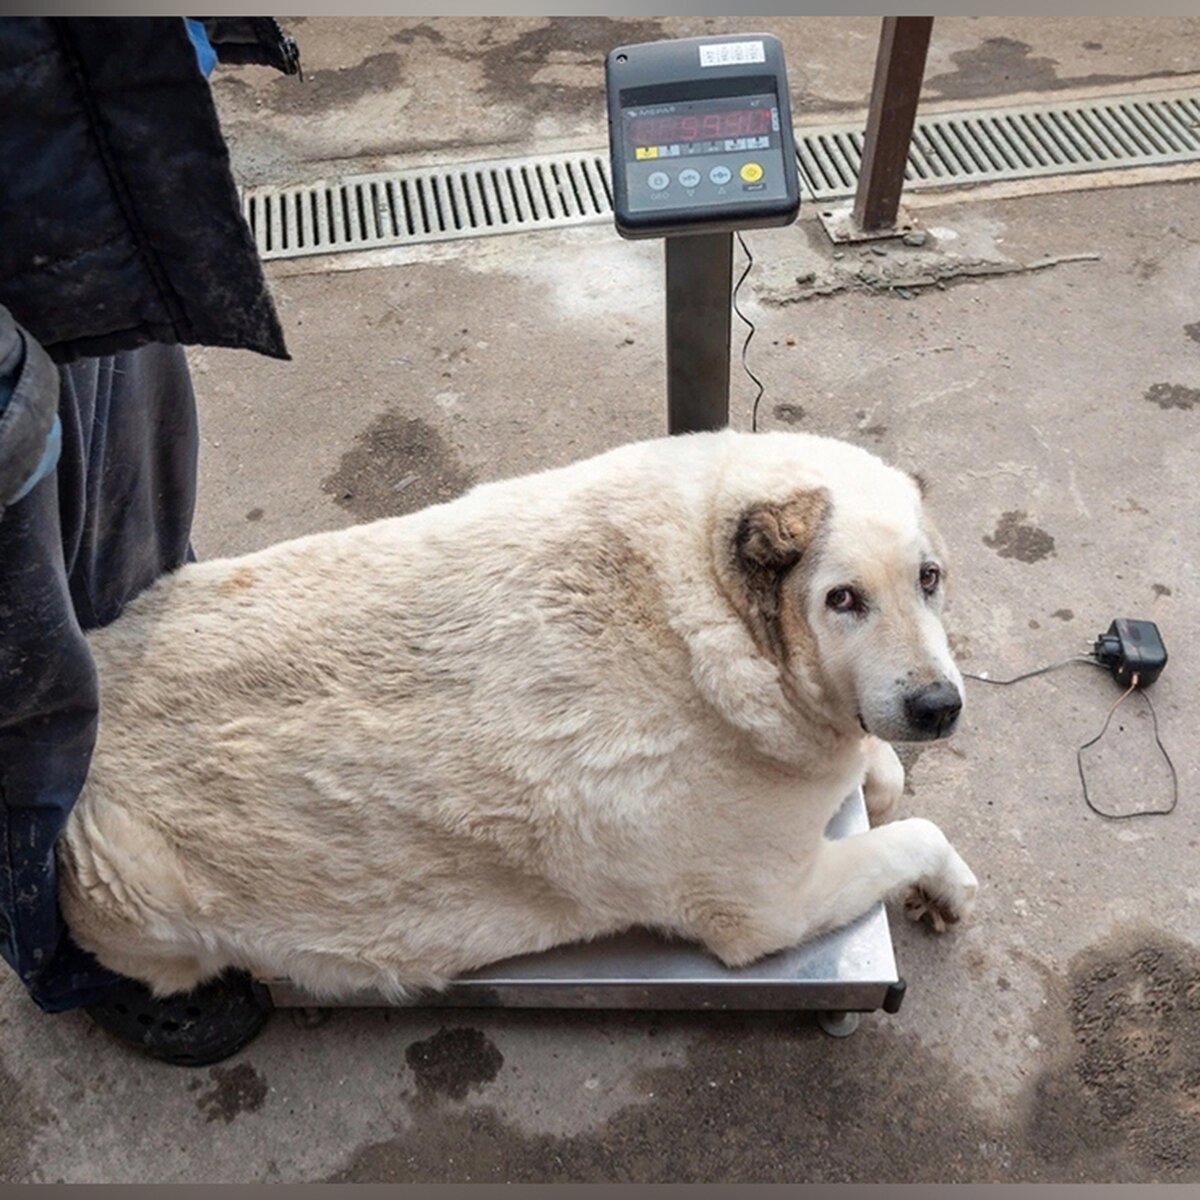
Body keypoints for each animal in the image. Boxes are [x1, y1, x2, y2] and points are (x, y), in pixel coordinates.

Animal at [56, 427, 974, 998]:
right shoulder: (764, 906)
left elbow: (882, 775)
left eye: (929, 579)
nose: (938, 706)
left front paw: (884, 785)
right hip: (137, 892)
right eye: (842, 599)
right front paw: (950, 885)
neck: (713, 619)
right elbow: (917, 830)